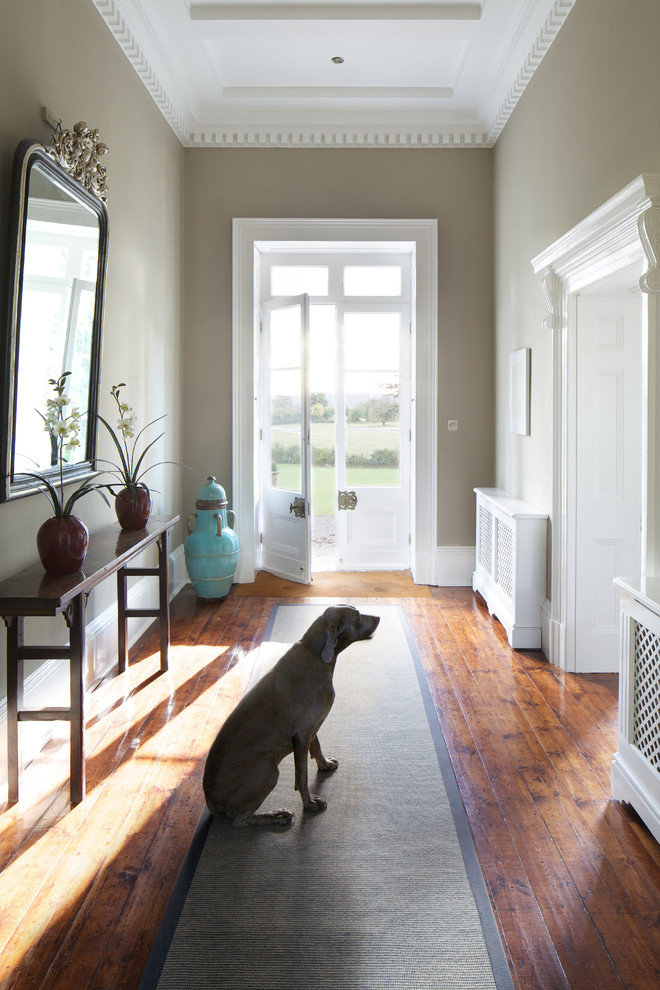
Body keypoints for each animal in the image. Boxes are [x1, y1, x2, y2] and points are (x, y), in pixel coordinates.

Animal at [201, 604, 378, 828]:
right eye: (357, 617)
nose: (379, 618)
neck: (315, 656)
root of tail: (211, 804)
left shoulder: (311, 727)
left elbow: (316, 747)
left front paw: (325, 765)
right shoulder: (301, 734)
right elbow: (301, 776)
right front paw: (310, 804)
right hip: (268, 769)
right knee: (240, 821)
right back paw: (277, 815)